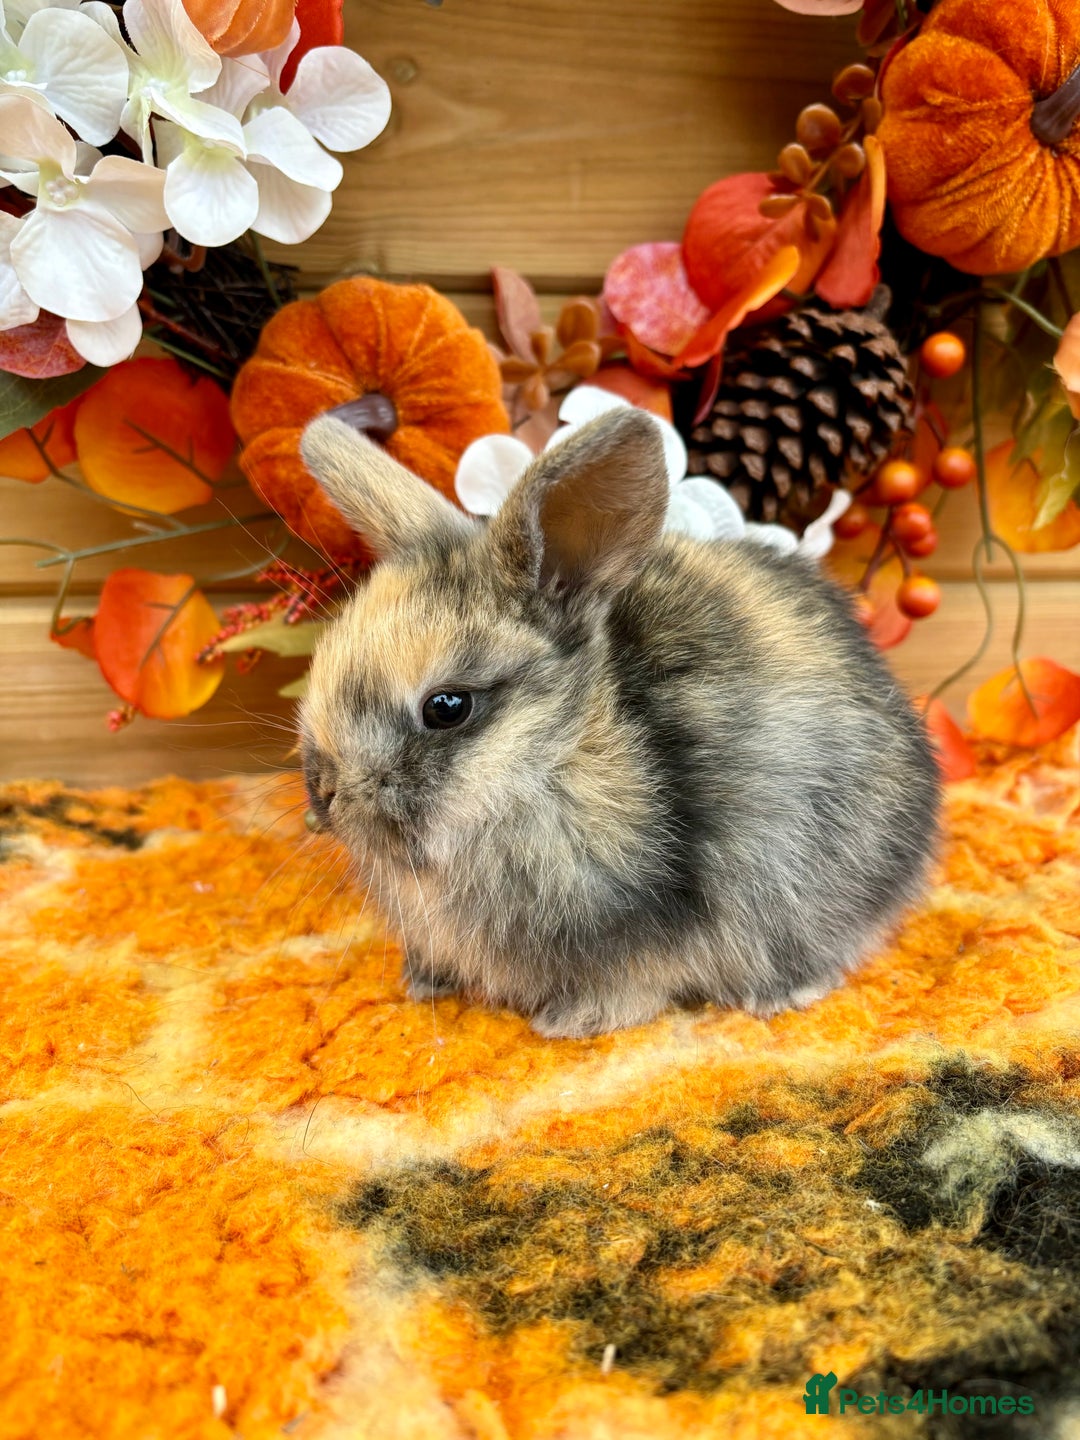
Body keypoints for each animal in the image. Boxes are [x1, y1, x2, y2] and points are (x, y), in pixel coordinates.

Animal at [297, 407, 941, 1039]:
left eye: (446, 707)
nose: (324, 795)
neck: (562, 756)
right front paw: (425, 980)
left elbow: (637, 981)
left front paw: (572, 1020)